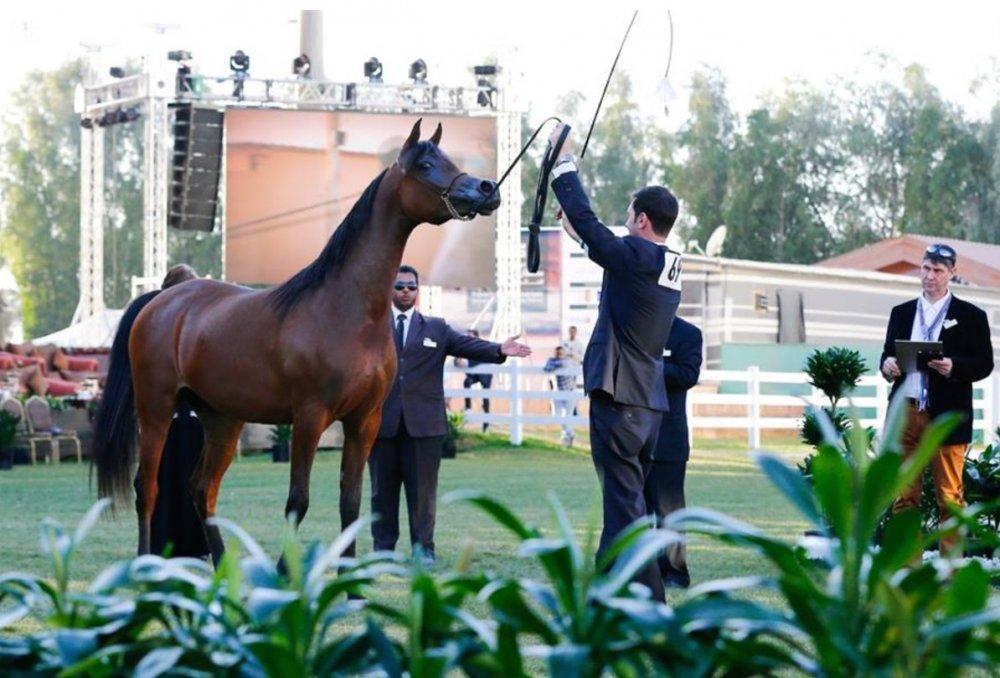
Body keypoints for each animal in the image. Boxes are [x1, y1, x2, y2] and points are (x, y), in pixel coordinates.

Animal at [93, 119, 500, 564]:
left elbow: (351, 503)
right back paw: (145, 566)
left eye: (449, 159)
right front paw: (286, 573)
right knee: (146, 488)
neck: (345, 308)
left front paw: (349, 577)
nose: (486, 189)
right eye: (426, 165)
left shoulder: (365, 421)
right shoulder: (309, 418)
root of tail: (164, 299)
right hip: (156, 408)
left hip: (222, 418)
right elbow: (297, 502)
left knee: (202, 489)